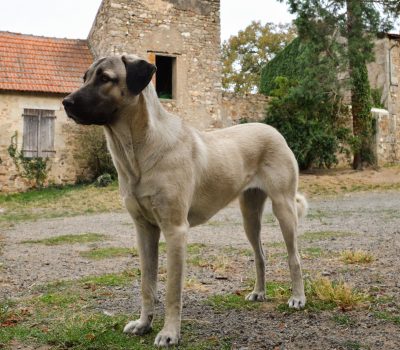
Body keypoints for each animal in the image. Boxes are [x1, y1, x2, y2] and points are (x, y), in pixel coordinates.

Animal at [62, 55, 308, 348]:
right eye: (84, 77)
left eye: (105, 78)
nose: (66, 102)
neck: (138, 150)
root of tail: (272, 129)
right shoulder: (144, 230)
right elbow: (147, 285)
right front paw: (143, 324)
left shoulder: (175, 231)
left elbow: (171, 291)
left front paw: (169, 333)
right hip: (250, 215)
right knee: (260, 254)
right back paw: (259, 292)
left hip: (284, 208)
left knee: (294, 257)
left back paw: (298, 297)